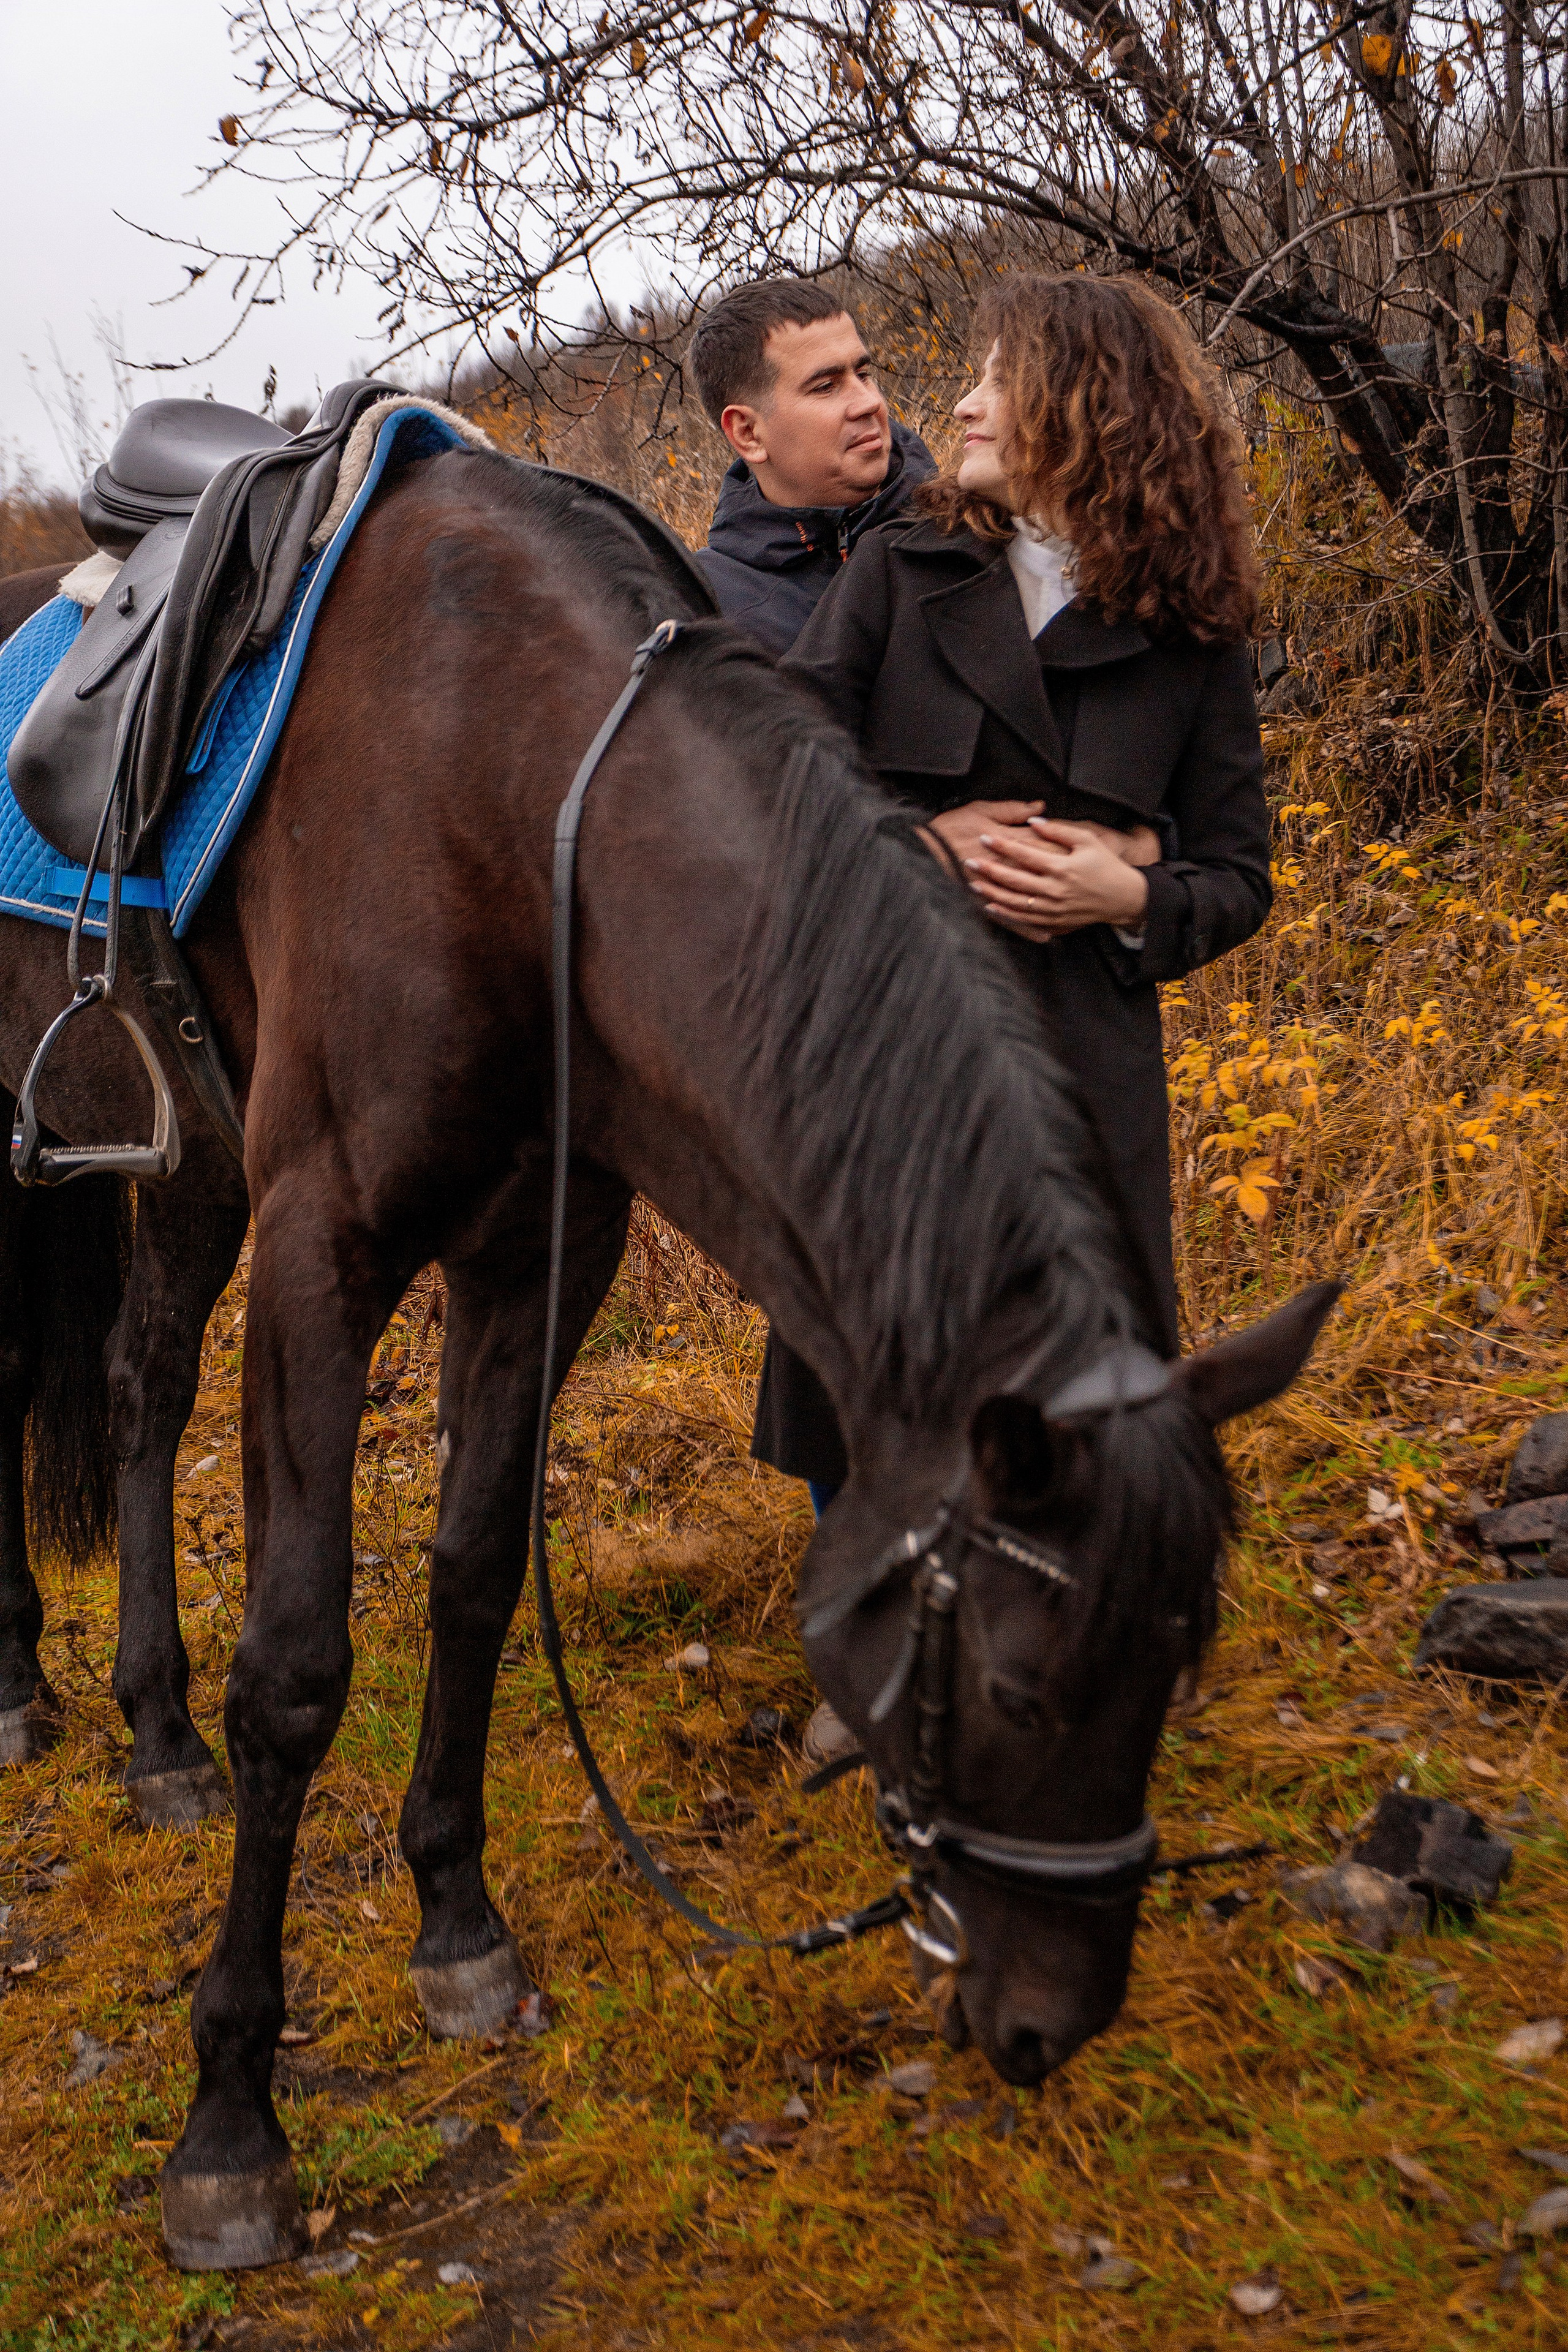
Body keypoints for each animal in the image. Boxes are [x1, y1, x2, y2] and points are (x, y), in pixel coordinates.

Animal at [8, 450, 1330, 2273]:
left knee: (141, 1388)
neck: (509, 793)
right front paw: (228, 2120)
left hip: (179, 1159)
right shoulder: (323, 1247)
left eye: (1182, 1657)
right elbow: (294, 1672)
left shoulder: (537, 1249)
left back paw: (150, 1733)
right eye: (1012, 1685)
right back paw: (33, 1692)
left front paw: (458, 1924)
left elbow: (472, 1574)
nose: (1049, 2021)